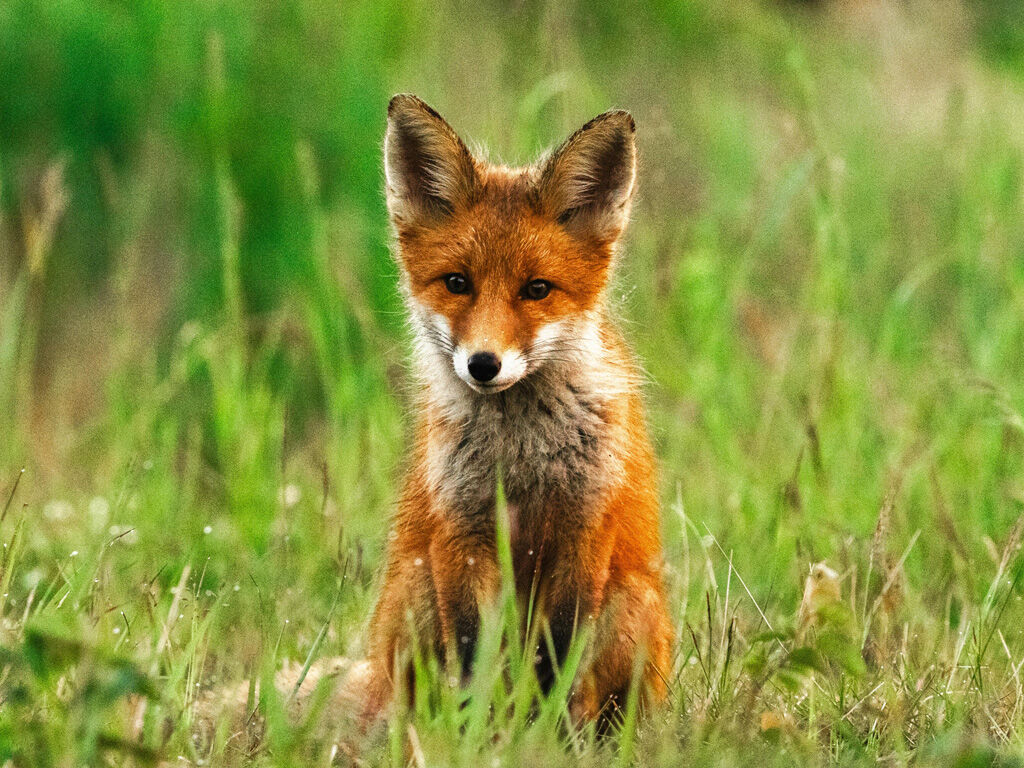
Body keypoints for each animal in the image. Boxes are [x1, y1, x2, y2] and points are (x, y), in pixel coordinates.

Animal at [347, 94, 674, 729]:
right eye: (457, 283)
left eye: (537, 289)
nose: (483, 364)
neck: (520, 457)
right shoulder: (463, 534)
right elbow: (475, 658)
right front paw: (479, 736)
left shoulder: (582, 529)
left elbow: (557, 657)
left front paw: (545, 736)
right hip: (414, 590)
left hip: (632, 602)